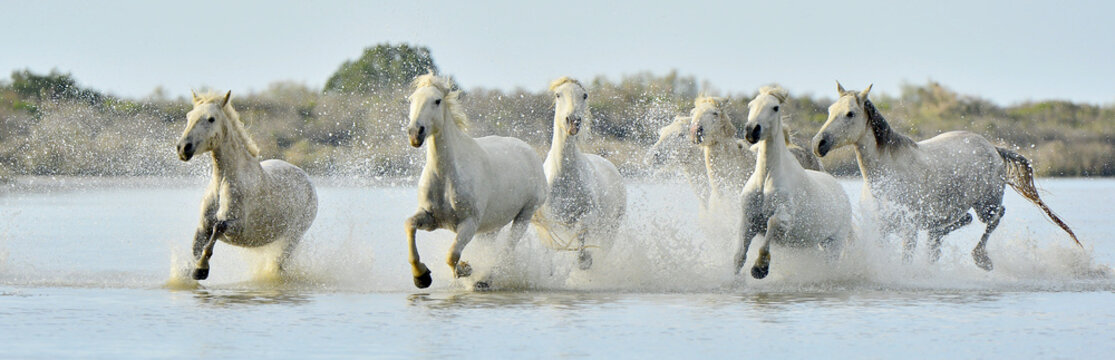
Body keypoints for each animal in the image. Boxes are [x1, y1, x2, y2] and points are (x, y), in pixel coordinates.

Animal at [173, 90, 321, 281]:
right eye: (188, 116)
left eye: (211, 119)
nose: (183, 148)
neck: (223, 181)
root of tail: (308, 180)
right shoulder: (203, 226)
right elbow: (195, 250)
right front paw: (189, 271)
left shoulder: (237, 228)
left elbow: (217, 229)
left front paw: (201, 269)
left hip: (293, 236)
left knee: (278, 263)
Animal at [403, 74, 546, 289]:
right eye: (411, 99)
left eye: (437, 101)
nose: (415, 133)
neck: (446, 177)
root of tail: (531, 153)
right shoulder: (430, 217)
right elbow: (409, 225)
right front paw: (421, 276)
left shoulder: (469, 223)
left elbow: (452, 255)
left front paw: (466, 269)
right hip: (492, 225)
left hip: (525, 213)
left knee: (508, 248)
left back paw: (485, 280)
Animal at [532, 77, 628, 269]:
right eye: (558, 94)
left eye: (584, 95)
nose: (573, 121)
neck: (564, 176)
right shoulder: (550, 221)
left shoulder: (589, 215)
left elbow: (581, 230)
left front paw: (584, 260)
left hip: (610, 229)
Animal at [735, 87, 847, 279]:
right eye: (751, 105)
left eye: (775, 107)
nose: (751, 131)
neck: (766, 179)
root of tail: (840, 189)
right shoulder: (748, 220)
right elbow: (740, 257)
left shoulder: (785, 219)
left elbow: (772, 222)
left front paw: (760, 268)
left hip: (834, 243)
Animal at [811, 82, 1079, 270]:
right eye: (830, 110)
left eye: (850, 114)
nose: (818, 144)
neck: (886, 177)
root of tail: (993, 148)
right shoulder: (881, 228)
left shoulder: (908, 230)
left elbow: (905, 260)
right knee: (960, 221)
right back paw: (938, 243)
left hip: (986, 204)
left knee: (995, 216)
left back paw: (982, 259)